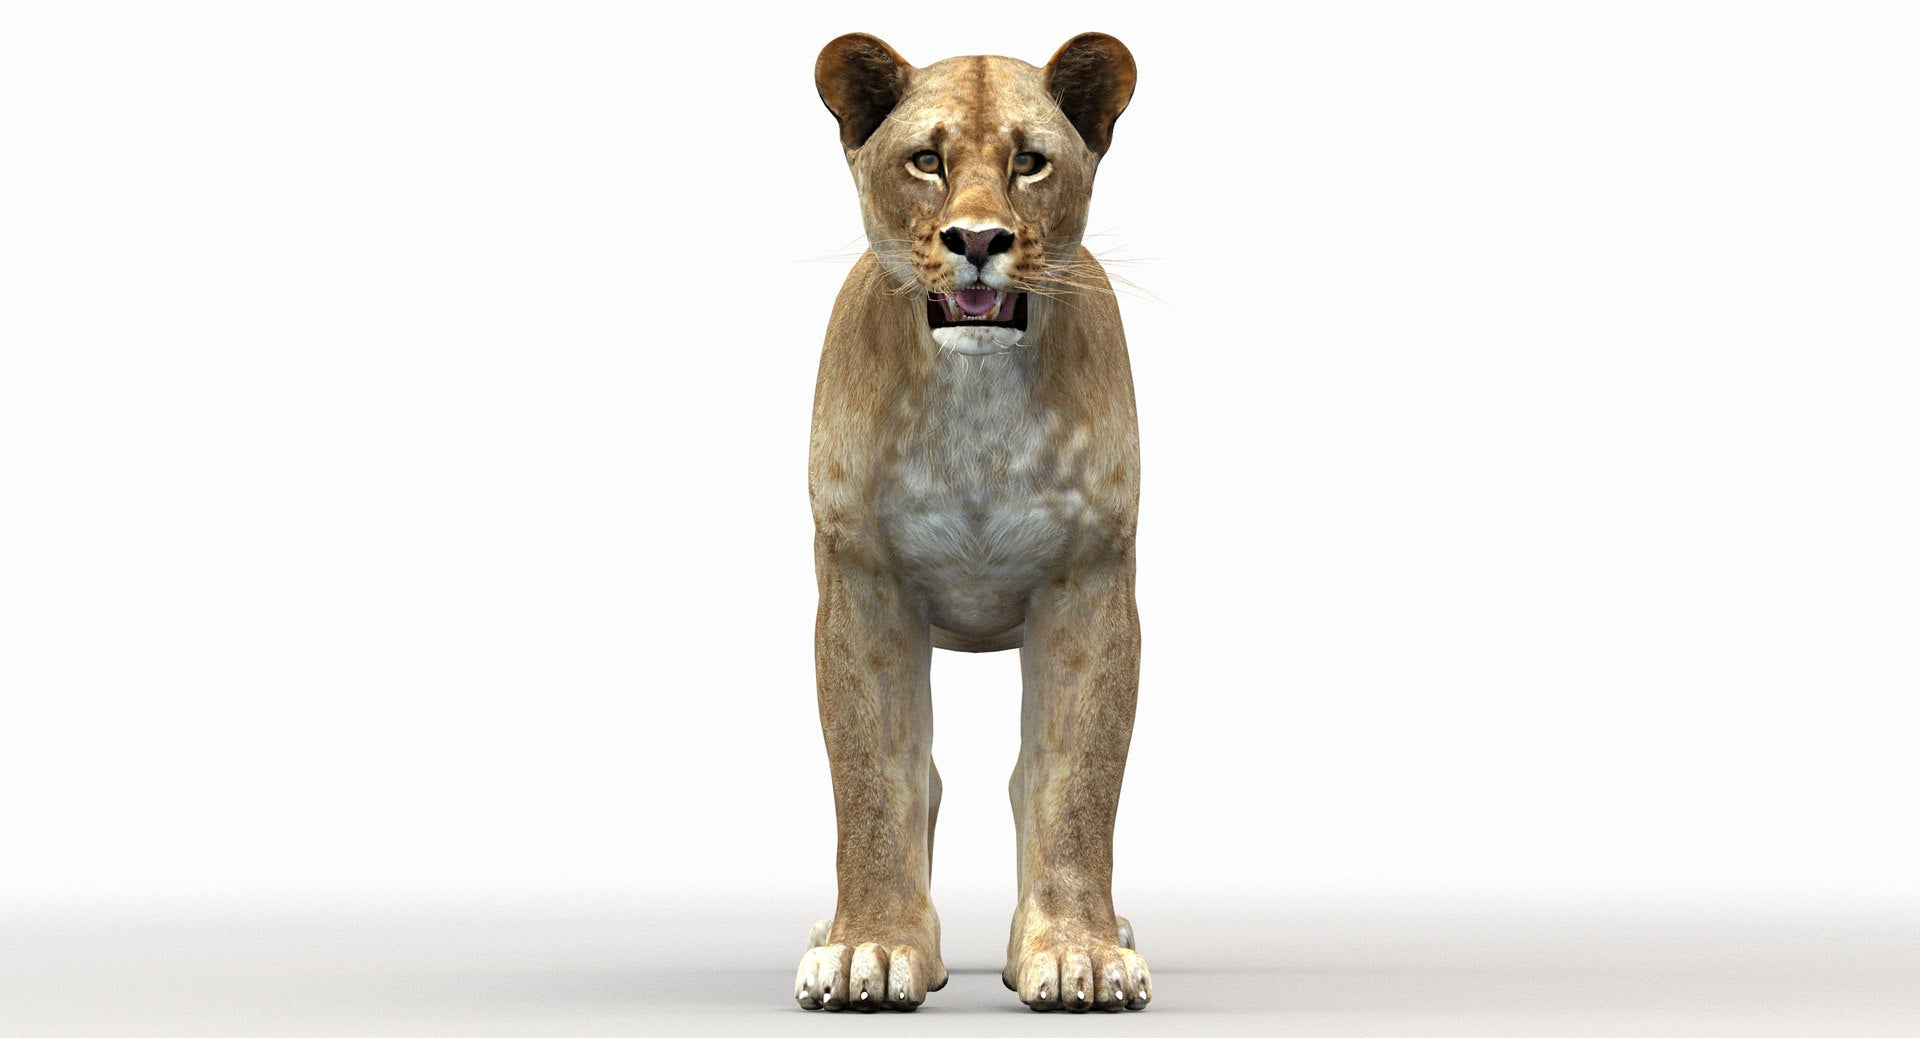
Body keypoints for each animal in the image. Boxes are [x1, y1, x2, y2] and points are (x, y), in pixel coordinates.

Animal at [794, 32, 1149, 1013]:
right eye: (927, 160)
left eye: (1030, 163)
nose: (981, 240)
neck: (976, 400)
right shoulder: (863, 582)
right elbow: (874, 782)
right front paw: (870, 948)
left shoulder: (1091, 582)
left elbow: (1078, 783)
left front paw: (1079, 952)